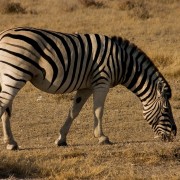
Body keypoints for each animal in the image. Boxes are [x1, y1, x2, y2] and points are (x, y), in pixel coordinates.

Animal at [0, 27, 177, 150]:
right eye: (165, 110)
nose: (174, 135)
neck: (123, 63)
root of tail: (3, 35)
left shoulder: (86, 87)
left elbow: (73, 111)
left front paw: (61, 139)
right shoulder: (102, 82)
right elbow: (98, 110)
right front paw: (102, 137)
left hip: (8, 77)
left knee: (7, 109)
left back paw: (11, 143)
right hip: (16, 74)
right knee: (3, 105)